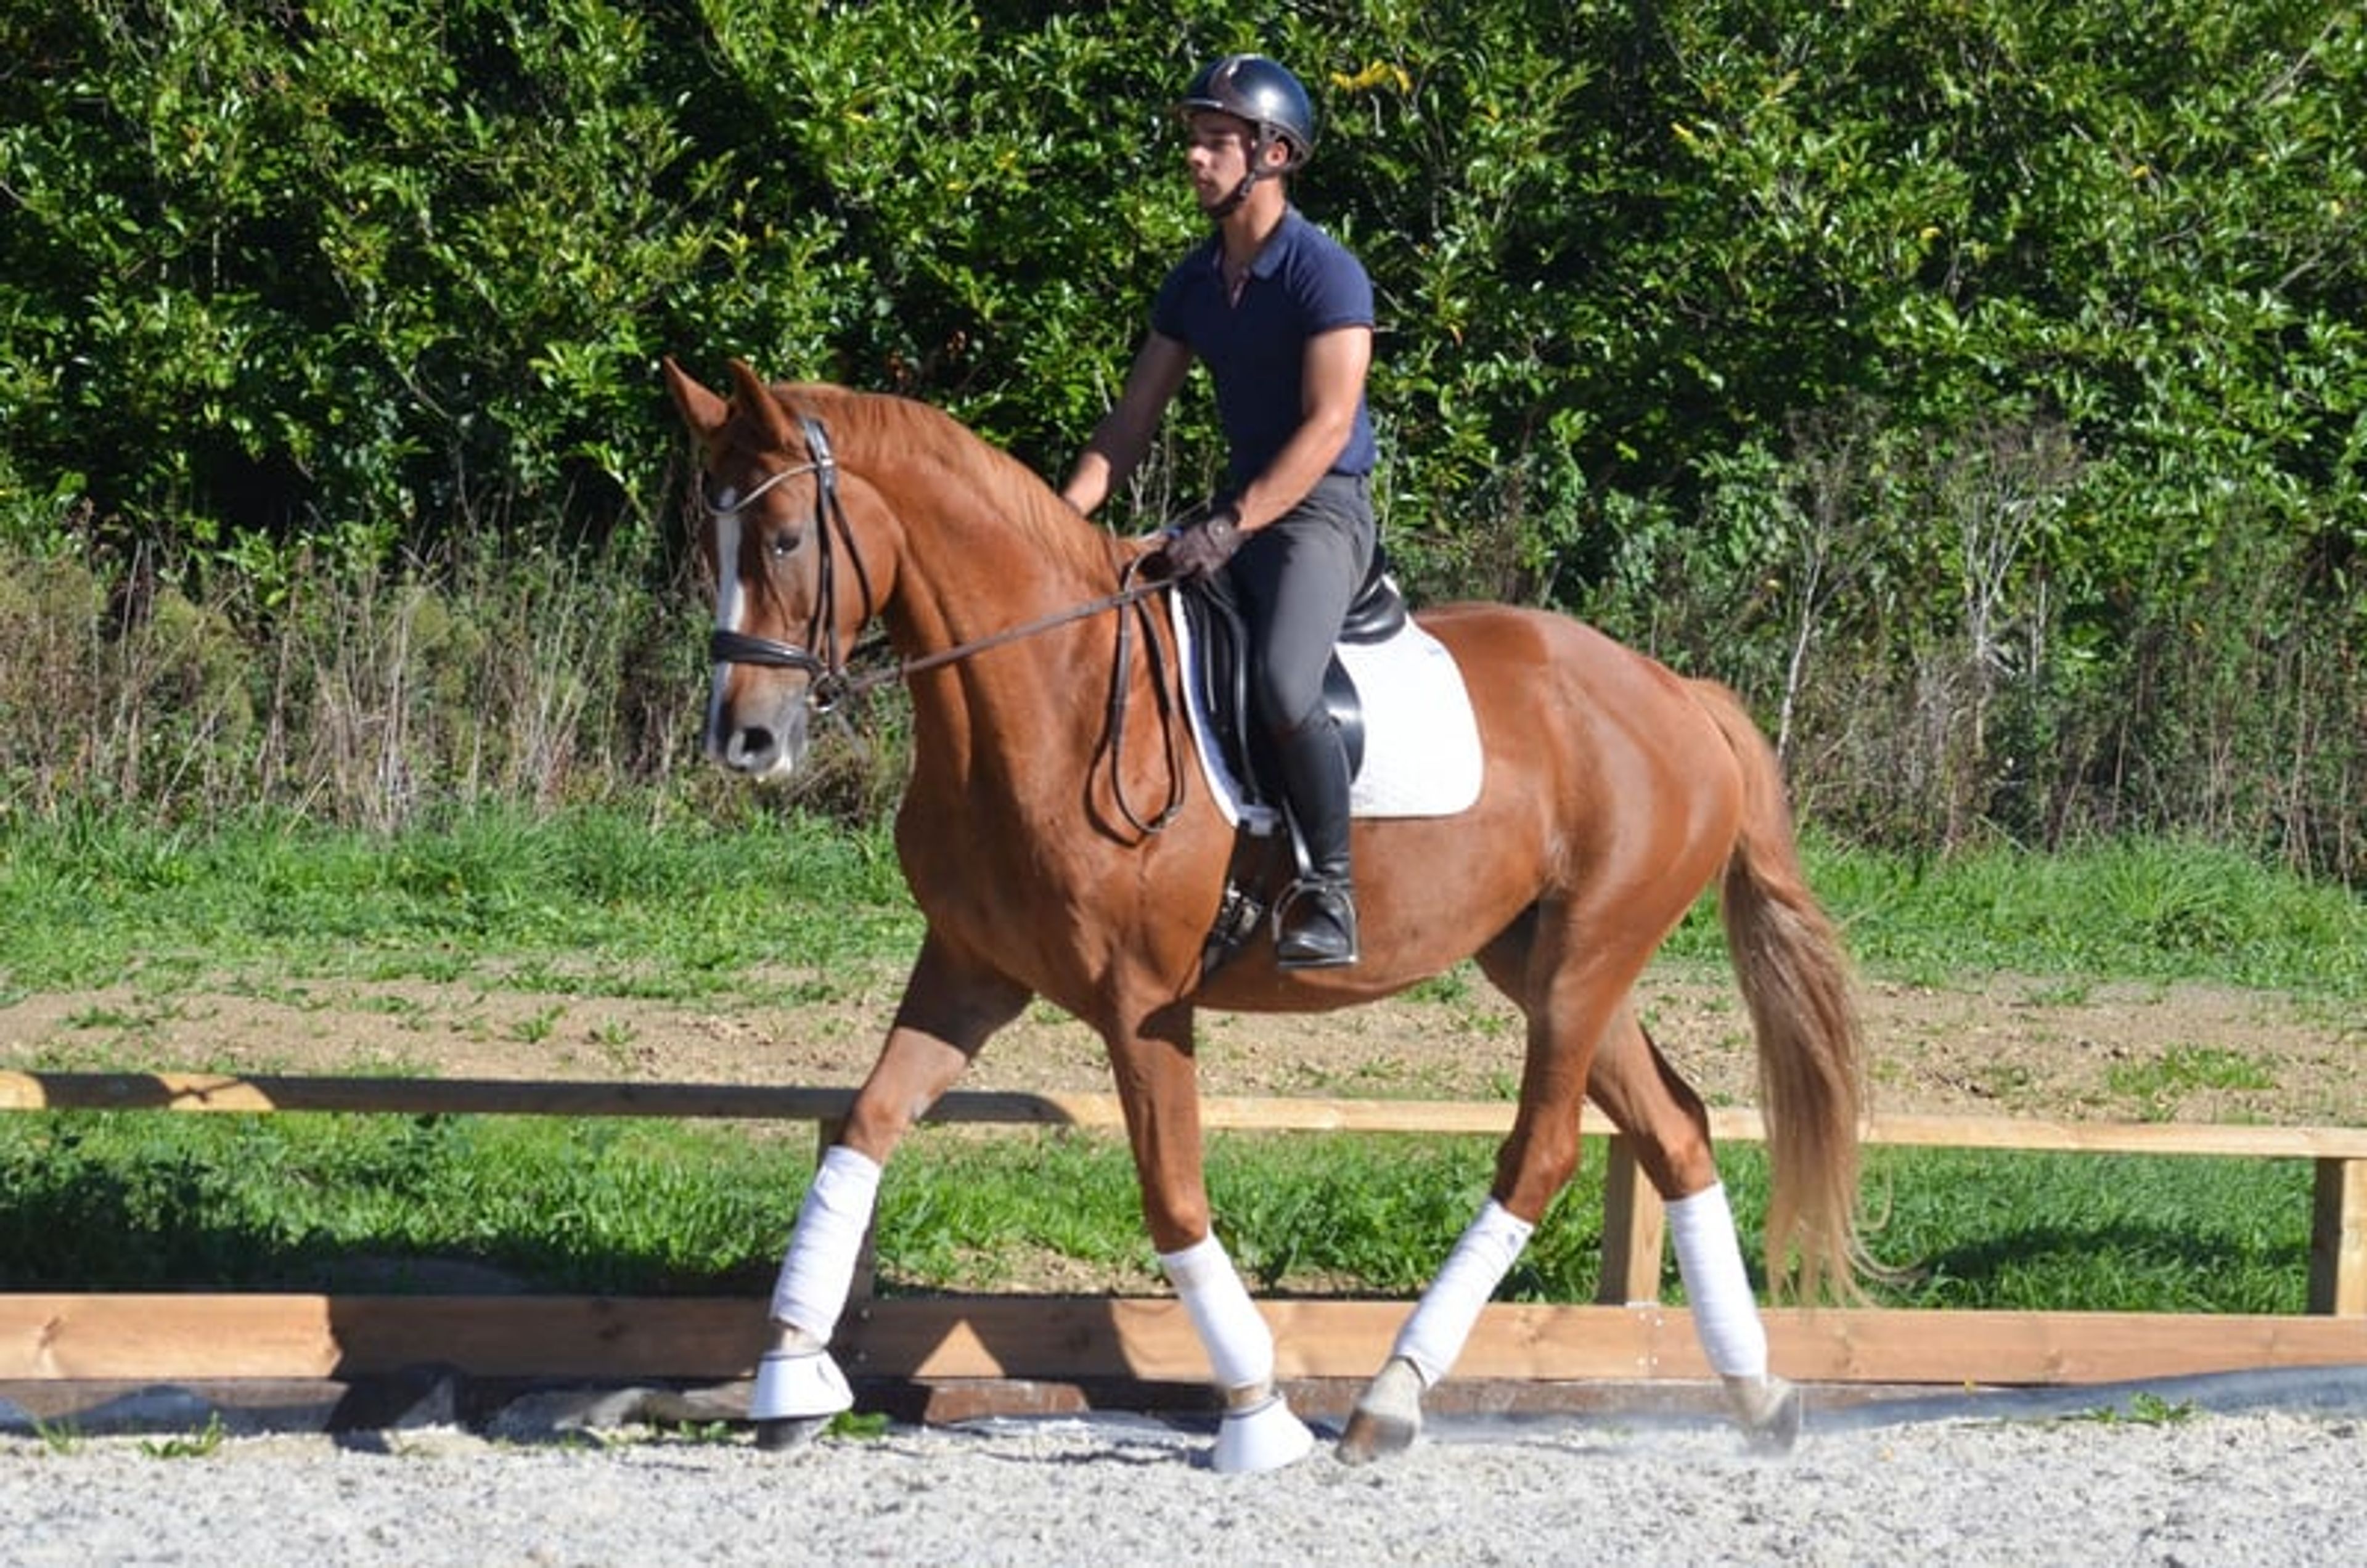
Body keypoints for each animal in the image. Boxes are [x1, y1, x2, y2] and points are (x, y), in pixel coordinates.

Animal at [662, 357, 1867, 1471]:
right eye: (712, 548)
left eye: (783, 540)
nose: (745, 740)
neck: (1048, 687)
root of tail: (1680, 696)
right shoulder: (969, 970)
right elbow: (864, 1128)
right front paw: (788, 1380)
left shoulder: (1141, 1003)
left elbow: (1173, 1198)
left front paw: (1255, 1411)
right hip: (1552, 964)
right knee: (1675, 1130)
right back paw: (1759, 1395)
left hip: (1583, 960)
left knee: (1544, 1153)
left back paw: (1389, 1399)